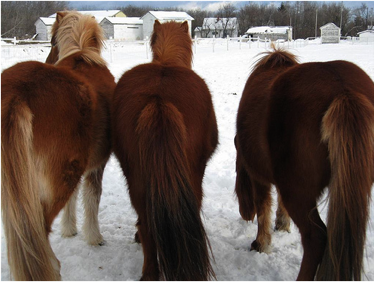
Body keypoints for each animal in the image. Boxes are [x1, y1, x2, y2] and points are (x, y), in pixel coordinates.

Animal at [1, 11, 115, 282]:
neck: (81, 54)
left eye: (51, 41)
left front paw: (69, 229)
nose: (49, 59)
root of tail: (17, 92)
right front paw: (94, 237)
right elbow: (92, 198)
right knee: (37, 232)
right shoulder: (95, 166)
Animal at [235, 45, 374, 280]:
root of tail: (344, 93)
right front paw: (282, 224)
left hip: (299, 194)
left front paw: (261, 244)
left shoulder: (259, 177)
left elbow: (263, 207)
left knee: (316, 238)